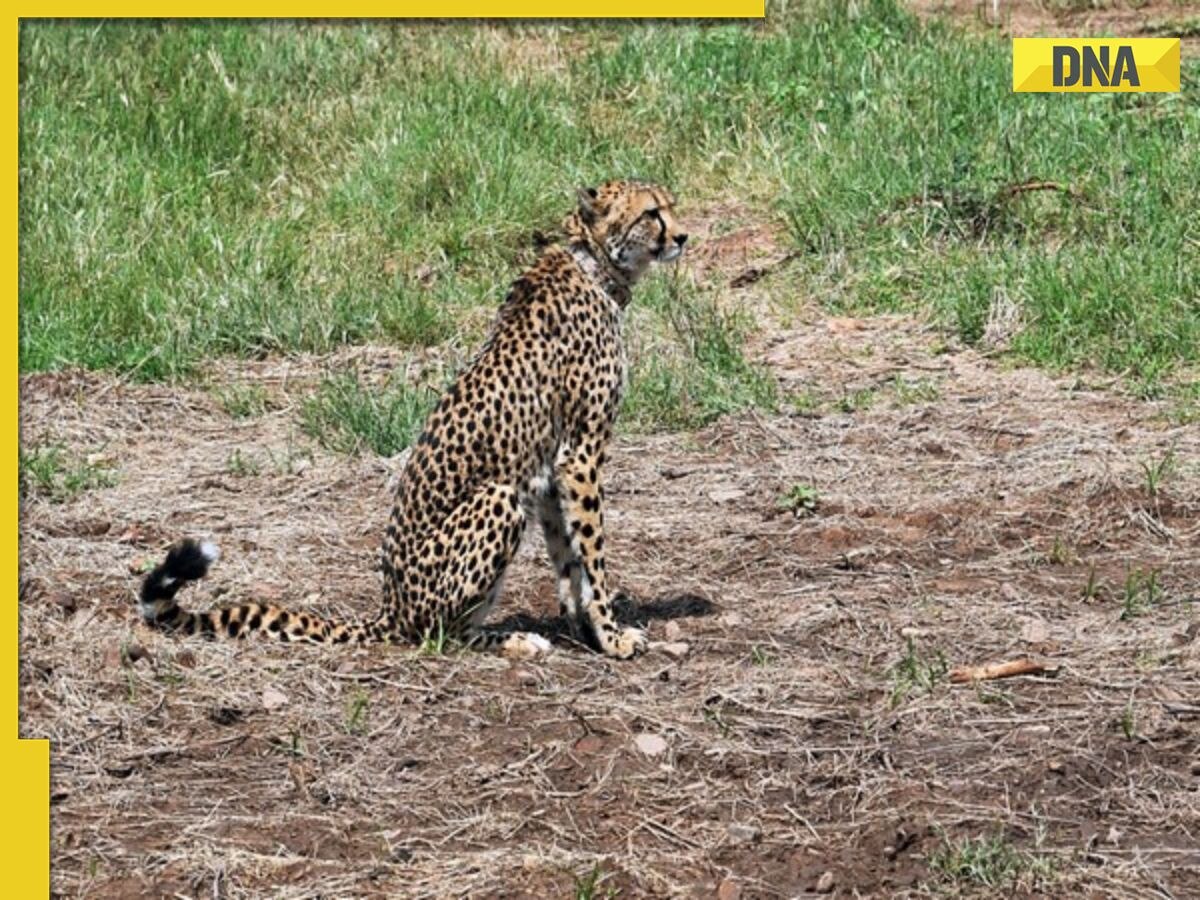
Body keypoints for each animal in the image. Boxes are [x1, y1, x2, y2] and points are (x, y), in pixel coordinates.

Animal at [139, 181, 691, 662]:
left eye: (670, 205)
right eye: (651, 213)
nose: (683, 236)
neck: (593, 264)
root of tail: (389, 609)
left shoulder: (553, 469)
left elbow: (568, 557)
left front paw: (584, 629)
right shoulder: (580, 455)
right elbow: (593, 553)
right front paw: (612, 636)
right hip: (497, 498)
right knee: (438, 633)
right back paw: (513, 640)